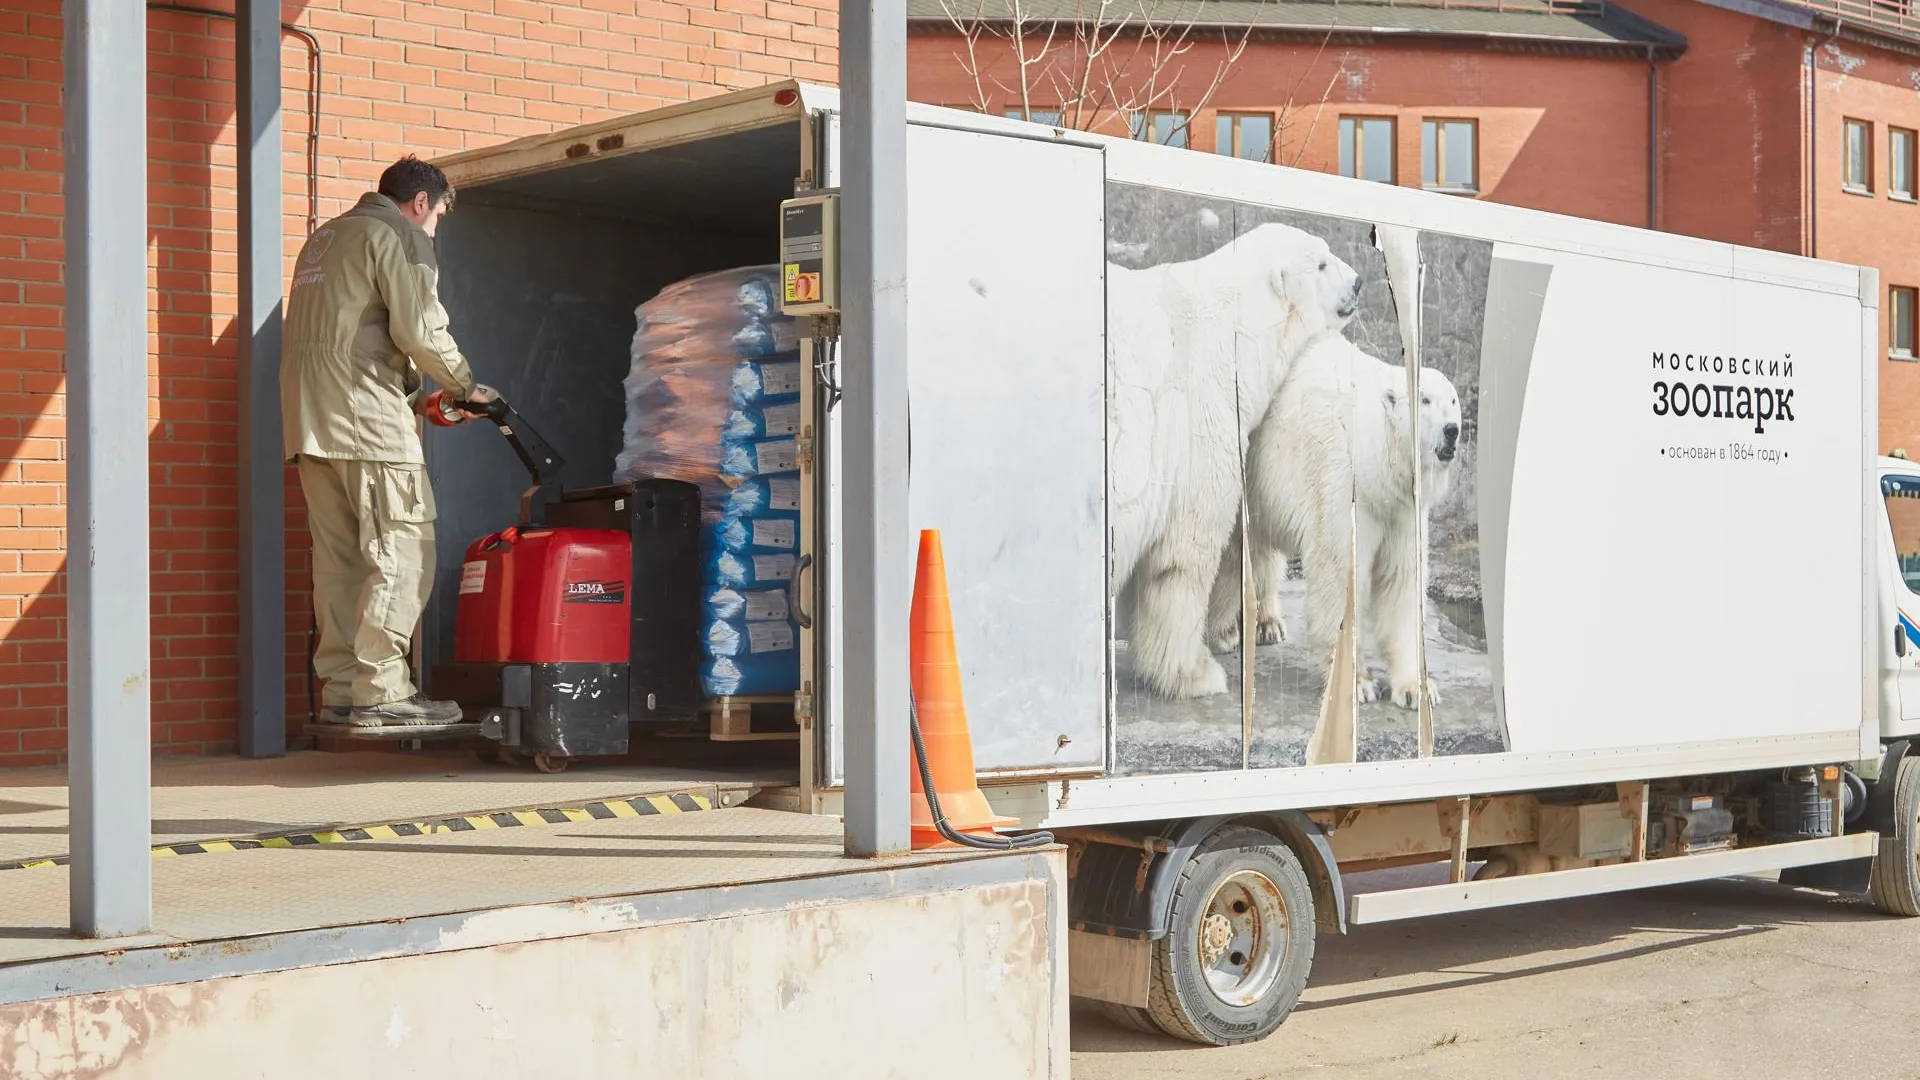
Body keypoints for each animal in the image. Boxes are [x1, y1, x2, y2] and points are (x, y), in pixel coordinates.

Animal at [1205, 334, 1459, 707]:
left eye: (1453, 400)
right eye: (1424, 400)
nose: (1452, 430)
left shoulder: (1400, 511)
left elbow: (1400, 580)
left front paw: (1417, 689)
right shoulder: (1343, 487)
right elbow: (1341, 575)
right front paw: (1359, 684)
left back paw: (1267, 623)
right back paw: (1224, 631)